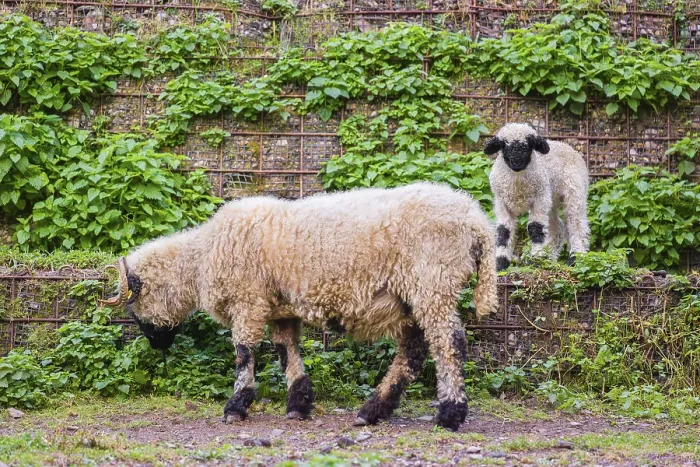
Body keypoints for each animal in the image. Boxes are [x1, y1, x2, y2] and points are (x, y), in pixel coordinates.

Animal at [99, 182, 498, 432]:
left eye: (135, 307)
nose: (157, 344)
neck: (201, 258)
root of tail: (476, 222)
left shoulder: (248, 300)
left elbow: (244, 353)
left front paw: (236, 406)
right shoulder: (281, 309)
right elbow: (287, 353)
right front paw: (298, 405)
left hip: (433, 282)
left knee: (449, 344)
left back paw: (449, 415)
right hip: (413, 297)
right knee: (413, 353)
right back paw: (372, 411)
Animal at [483, 123, 590, 270]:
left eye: (529, 145)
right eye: (504, 145)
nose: (517, 161)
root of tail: (567, 146)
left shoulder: (539, 200)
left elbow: (536, 228)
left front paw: (536, 259)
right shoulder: (501, 202)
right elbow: (503, 231)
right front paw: (500, 263)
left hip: (575, 192)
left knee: (576, 223)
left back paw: (575, 257)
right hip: (551, 200)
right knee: (557, 228)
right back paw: (550, 259)